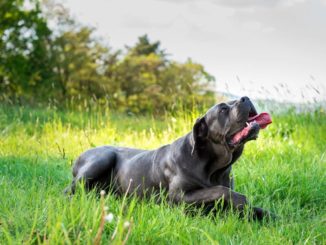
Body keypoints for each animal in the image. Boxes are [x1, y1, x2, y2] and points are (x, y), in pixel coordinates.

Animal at [65, 96, 274, 221]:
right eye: (223, 109)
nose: (245, 98)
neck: (213, 167)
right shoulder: (178, 197)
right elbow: (220, 191)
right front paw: (241, 200)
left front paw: (267, 215)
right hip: (102, 158)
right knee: (70, 190)